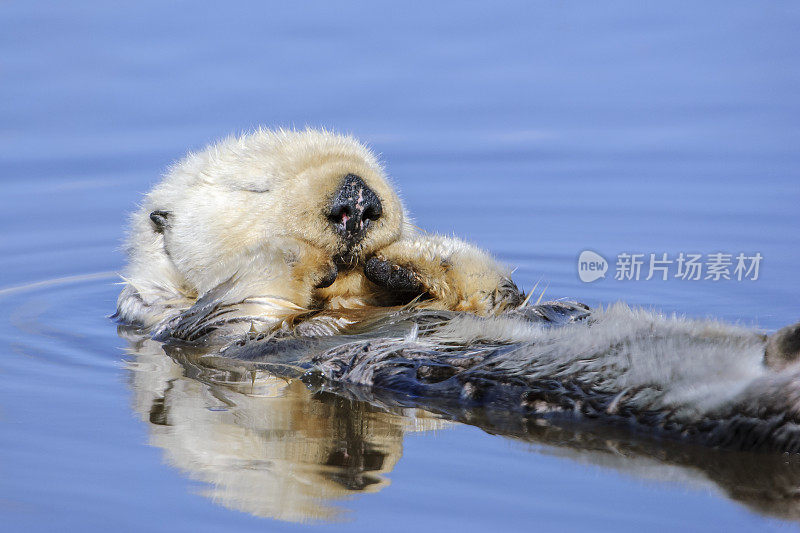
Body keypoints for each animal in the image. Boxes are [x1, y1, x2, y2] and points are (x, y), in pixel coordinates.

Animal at [115, 127, 800, 450]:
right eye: (255, 186)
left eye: (377, 172)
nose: (355, 200)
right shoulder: (205, 336)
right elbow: (245, 302)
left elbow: (494, 292)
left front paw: (404, 258)